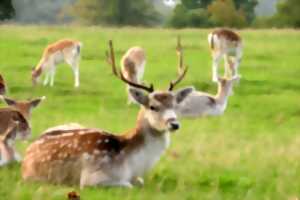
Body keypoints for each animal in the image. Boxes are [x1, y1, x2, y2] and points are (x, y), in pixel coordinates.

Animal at [22, 40, 193, 188]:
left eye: (175, 105)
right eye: (153, 106)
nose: (174, 124)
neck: (132, 164)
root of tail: (26, 156)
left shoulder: (137, 177)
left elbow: (140, 182)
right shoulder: (92, 178)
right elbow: (128, 186)